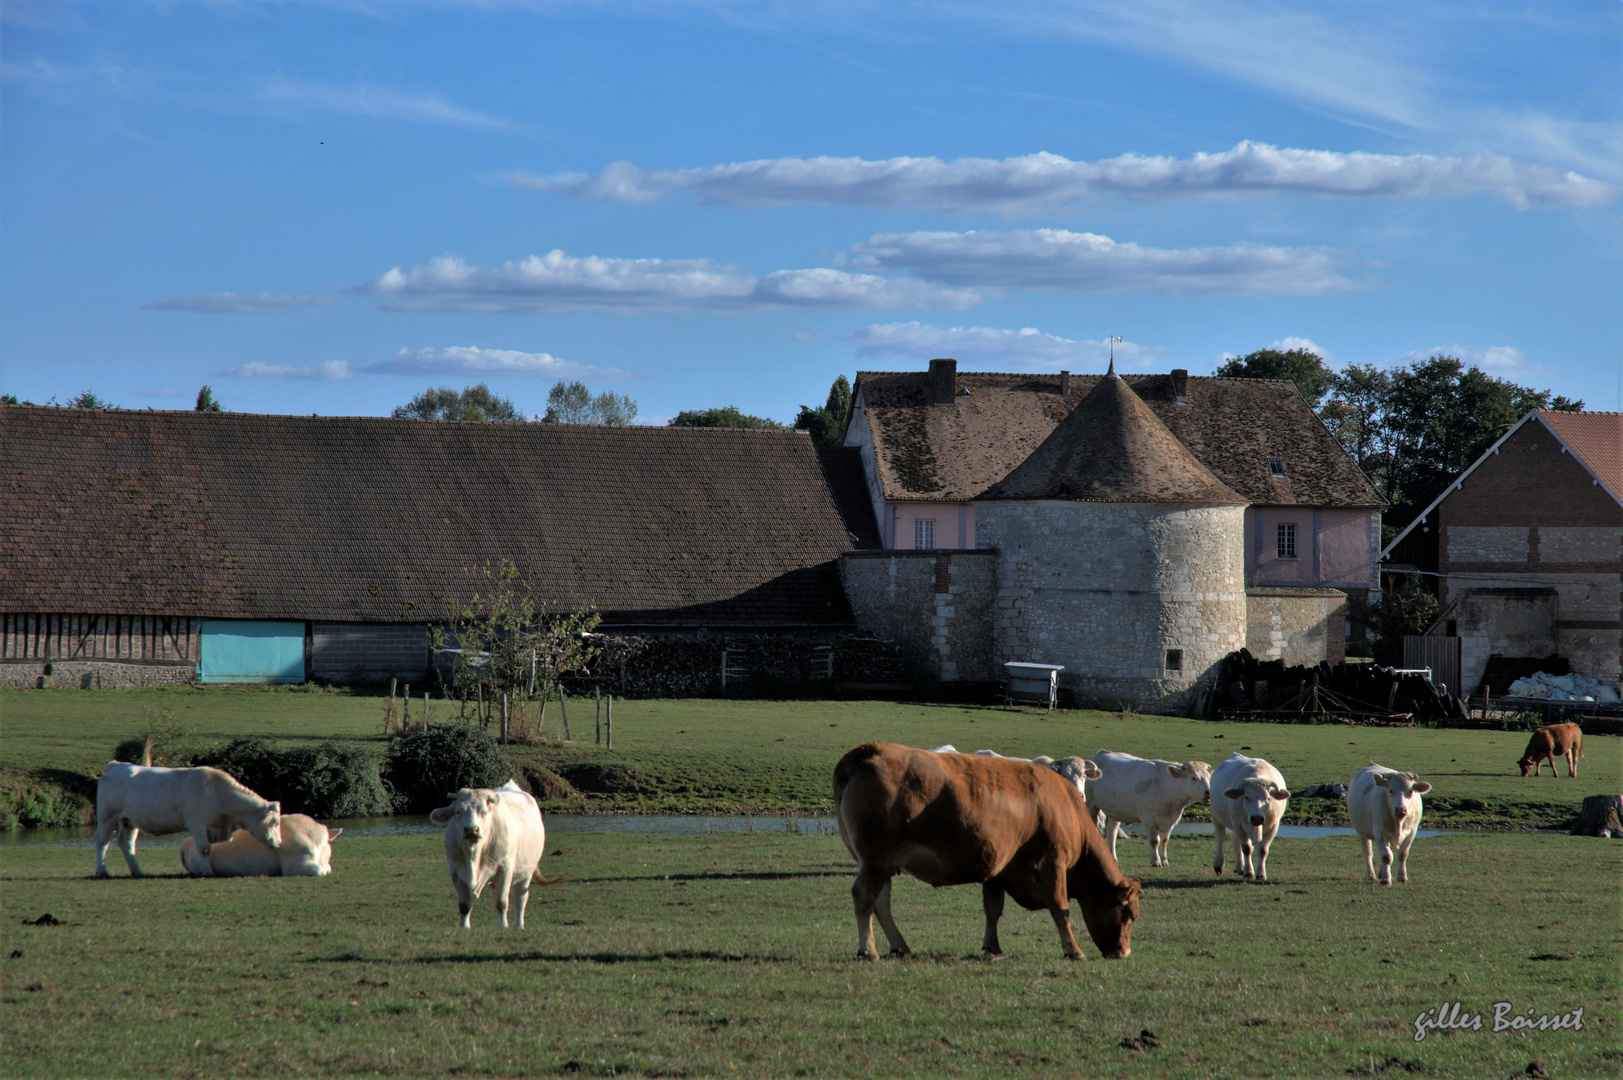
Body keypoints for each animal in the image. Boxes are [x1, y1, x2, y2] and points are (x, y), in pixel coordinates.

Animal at [93, 756, 282, 876]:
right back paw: (102, 871)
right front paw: (208, 871)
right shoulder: (197, 824)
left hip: (128, 821)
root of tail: (116, 766)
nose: (279, 843)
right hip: (106, 817)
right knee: (102, 841)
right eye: (275, 822)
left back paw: (137, 871)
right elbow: (204, 849)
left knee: (127, 844)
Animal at [837, 740, 1142, 961]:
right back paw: (868, 950)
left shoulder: (998, 868)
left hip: (881, 864)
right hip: (875, 860)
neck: (1063, 805)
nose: (1124, 953)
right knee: (864, 897)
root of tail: (870, 750)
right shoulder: (1053, 863)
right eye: (1129, 914)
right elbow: (1060, 908)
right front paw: (1073, 950)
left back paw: (899, 946)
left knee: (881, 902)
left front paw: (992, 947)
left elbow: (992, 910)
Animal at [1084, 750, 1214, 870]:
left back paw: (1113, 858)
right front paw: (1156, 861)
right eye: (1194, 778)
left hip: (1114, 810)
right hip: (1091, 805)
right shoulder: (1148, 818)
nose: (1209, 792)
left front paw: (1164, 861)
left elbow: (1165, 840)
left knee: (1112, 832)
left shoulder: (1169, 820)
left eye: (1209, 777)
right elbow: (1154, 840)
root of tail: (1102, 752)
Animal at [1214, 753, 1285, 883]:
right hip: (1217, 817)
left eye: (1268, 798)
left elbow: (1263, 850)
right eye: (1246, 797)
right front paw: (1249, 872)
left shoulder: (1274, 825)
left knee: (1235, 841)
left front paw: (1261, 874)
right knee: (1220, 838)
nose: (1257, 818)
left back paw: (1240, 868)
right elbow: (1247, 848)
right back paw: (1219, 865)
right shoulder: (1238, 824)